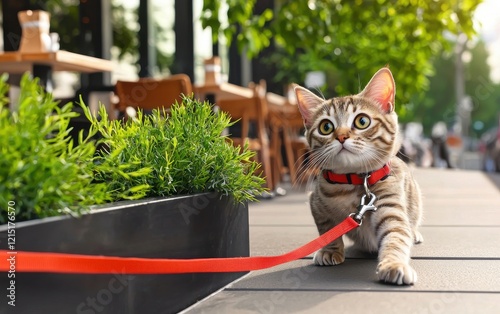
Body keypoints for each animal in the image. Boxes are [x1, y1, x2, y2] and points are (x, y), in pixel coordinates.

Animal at [294, 67, 424, 284]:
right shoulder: (315, 202)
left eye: (362, 121)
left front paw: (394, 264)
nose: (341, 136)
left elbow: (396, 234)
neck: (353, 181)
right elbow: (327, 229)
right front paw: (330, 250)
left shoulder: (389, 204)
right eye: (326, 127)